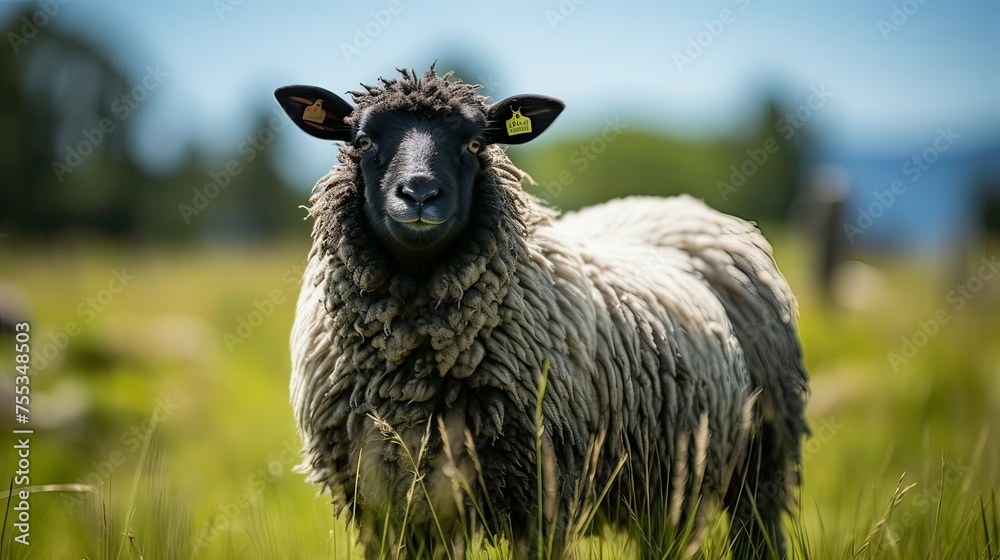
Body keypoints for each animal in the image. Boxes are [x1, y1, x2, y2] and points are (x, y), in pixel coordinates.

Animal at [276, 66, 809, 559]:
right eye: (363, 139)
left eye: (475, 144)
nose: (420, 195)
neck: (417, 368)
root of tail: (683, 205)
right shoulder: (385, 506)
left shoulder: (545, 492)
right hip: (668, 482)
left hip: (763, 456)